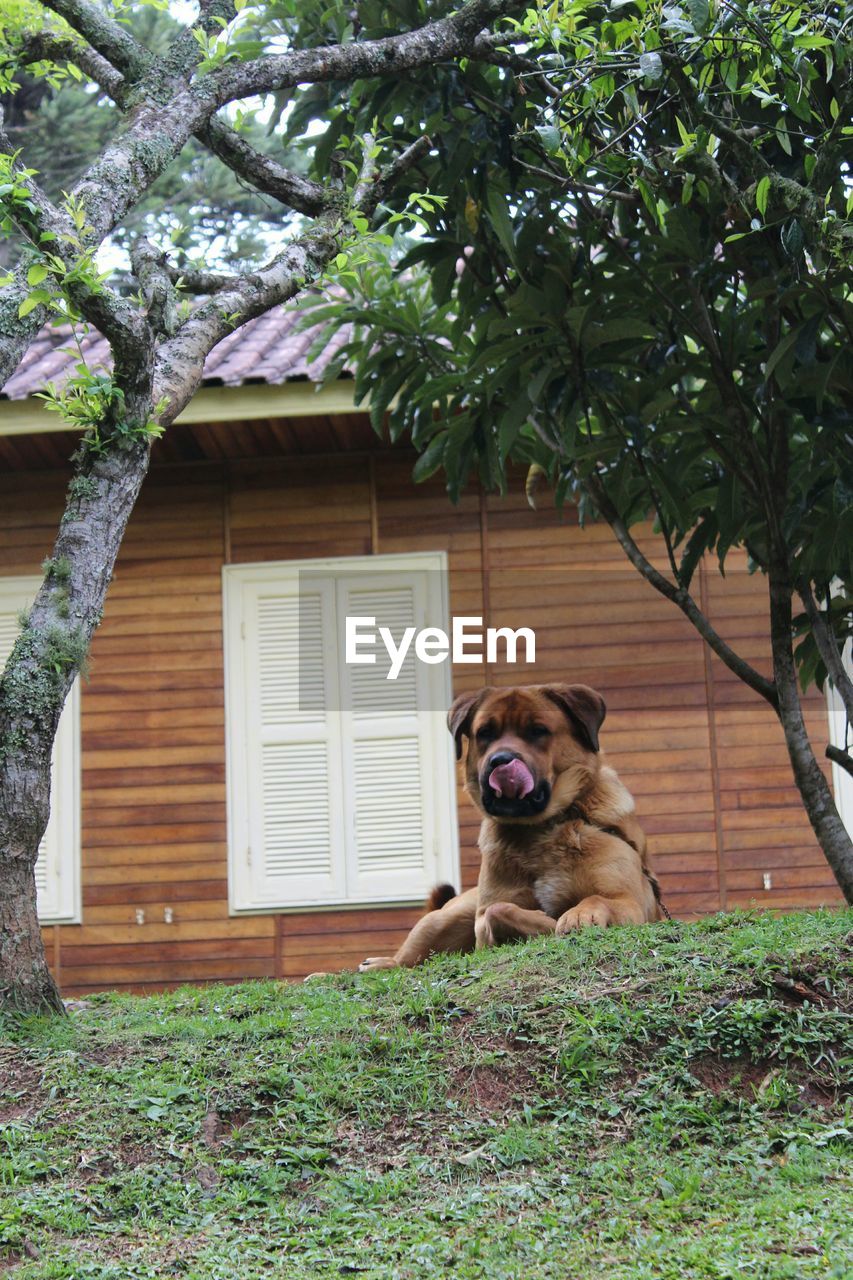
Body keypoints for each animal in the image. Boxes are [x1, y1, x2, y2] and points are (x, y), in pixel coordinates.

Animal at [356, 680, 660, 967]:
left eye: (538, 731)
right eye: (485, 733)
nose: (500, 761)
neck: (542, 827)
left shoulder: (629, 901)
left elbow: (596, 898)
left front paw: (578, 915)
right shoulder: (483, 921)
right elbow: (498, 910)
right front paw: (546, 923)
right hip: (443, 918)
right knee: (410, 958)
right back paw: (380, 964)